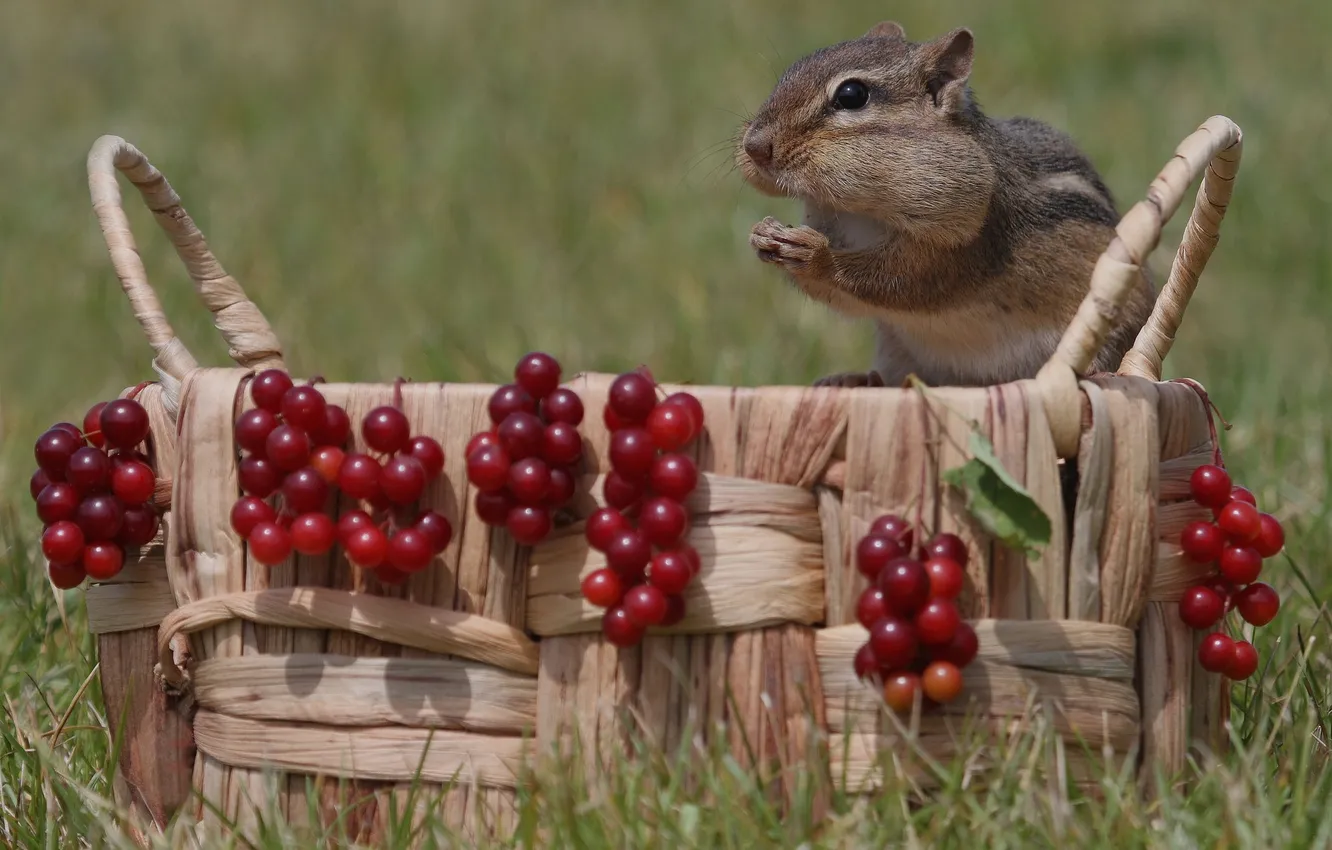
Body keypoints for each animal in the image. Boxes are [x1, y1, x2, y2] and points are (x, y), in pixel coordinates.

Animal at [736, 22, 1154, 388]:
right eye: (790, 71)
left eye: (852, 95)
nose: (754, 147)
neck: (864, 213)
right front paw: (762, 236)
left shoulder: (970, 244)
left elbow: (904, 282)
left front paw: (815, 256)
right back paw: (856, 379)